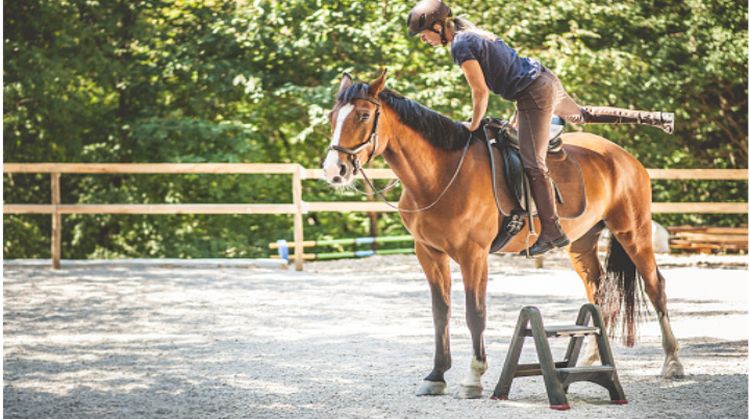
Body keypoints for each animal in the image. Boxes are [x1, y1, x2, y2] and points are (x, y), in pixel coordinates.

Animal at [321, 70, 684, 398]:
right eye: (332, 117)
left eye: (363, 115)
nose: (334, 171)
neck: (440, 175)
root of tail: (622, 156)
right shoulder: (429, 252)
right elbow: (441, 313)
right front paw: (436, 375)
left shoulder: (473, 255)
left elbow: (474, 313)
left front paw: (473, 377)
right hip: (582, 243)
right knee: (598, 292)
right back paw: (594, 358)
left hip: (633, 232)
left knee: (656, 287)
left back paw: (672, 362)